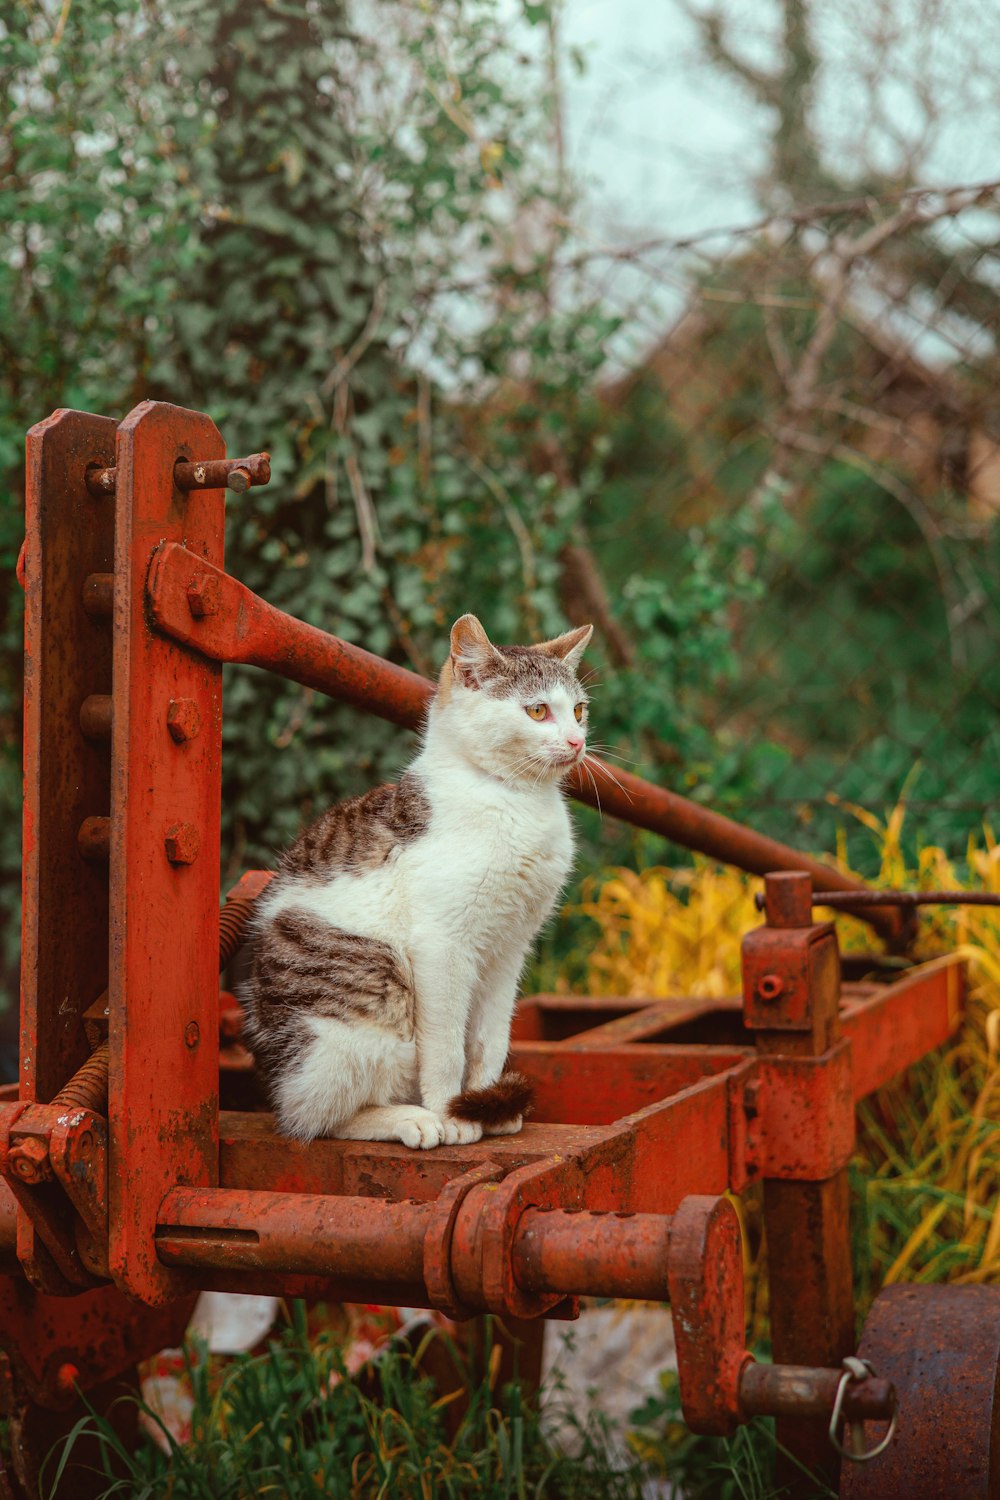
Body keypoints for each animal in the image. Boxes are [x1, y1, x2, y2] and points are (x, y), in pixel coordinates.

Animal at [242, 609, 593, 1146]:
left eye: (578, 710)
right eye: (537, 711)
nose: (577, 742)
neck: (514, 799)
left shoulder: (508, 950)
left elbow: (489, 1040)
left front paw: (485, 1104)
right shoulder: (442, 946)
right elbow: (446, 1047)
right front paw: (452, 1114)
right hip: (368, 994)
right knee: (313, 1117)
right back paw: (409, 1118)